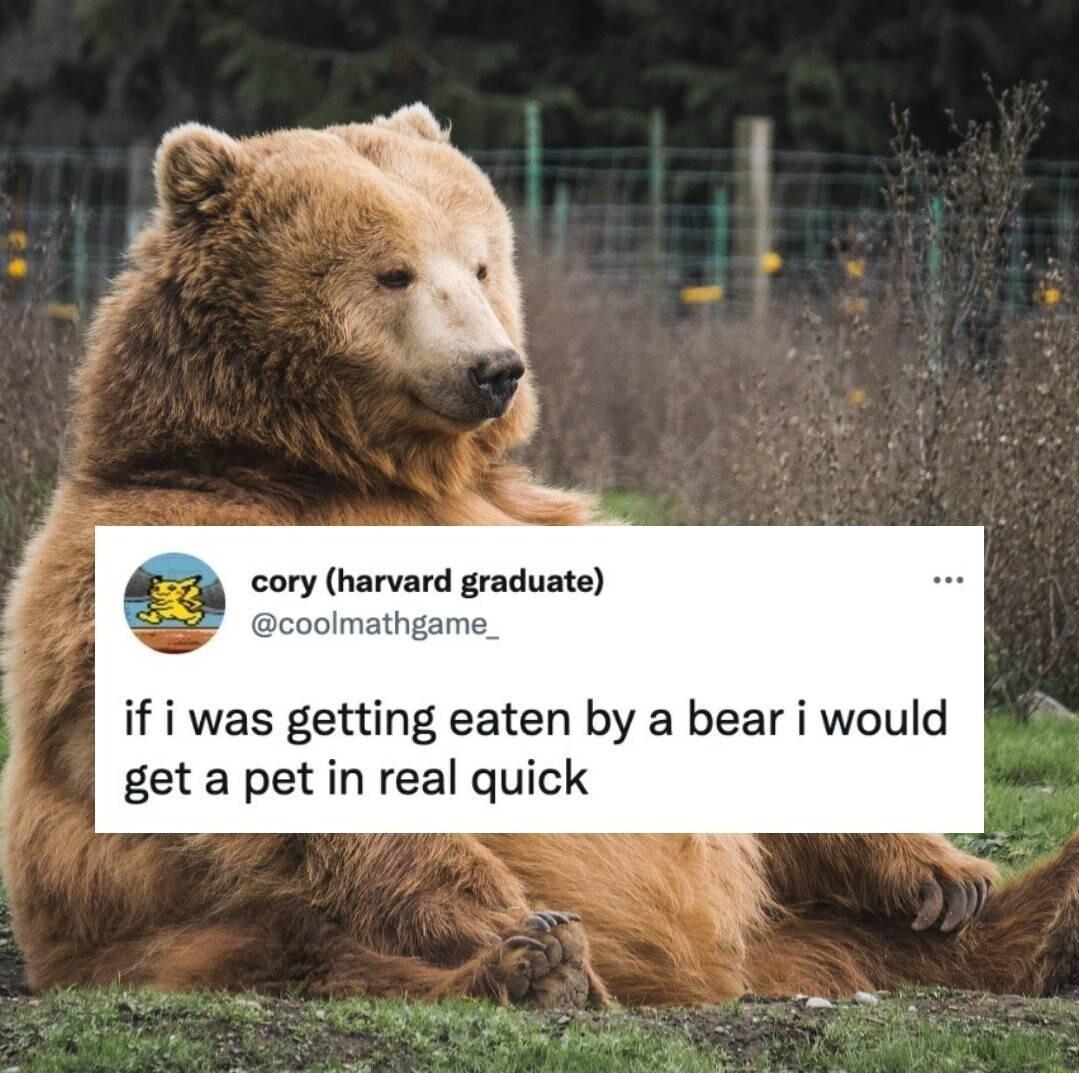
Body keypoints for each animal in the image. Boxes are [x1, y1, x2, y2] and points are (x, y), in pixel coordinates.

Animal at [2, 103, 1078, 1006]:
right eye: (391, 271)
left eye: (478, 262)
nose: (495, 368)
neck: (342, 463)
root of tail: (703, 973)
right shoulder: (177, 541)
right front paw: (518, 927)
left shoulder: (536, 518)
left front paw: (940, 870)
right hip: (169, 925)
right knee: (306, 943)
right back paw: (534, 967)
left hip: (794, 929)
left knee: (878, 944)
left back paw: (1035, 911)